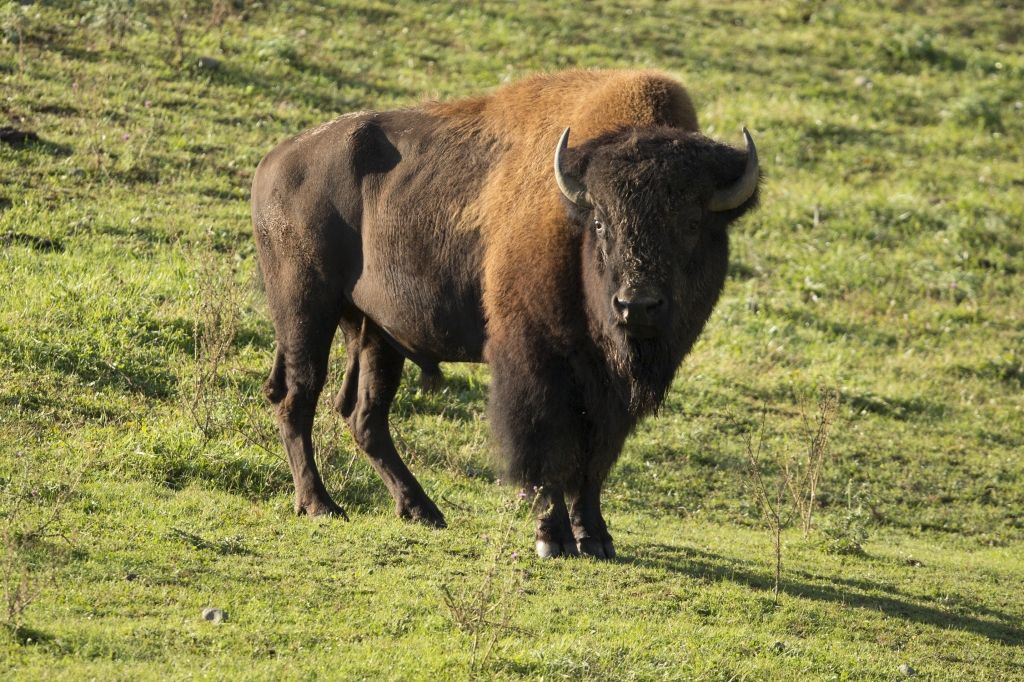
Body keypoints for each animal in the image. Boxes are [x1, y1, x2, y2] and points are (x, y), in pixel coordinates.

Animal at [249, 69, 761, 557]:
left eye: (692, 222)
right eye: (600, 223)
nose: (637, 306)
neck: (571, 218)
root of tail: (274, 162)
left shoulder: (606, 388)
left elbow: (594, 459)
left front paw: (597, 539)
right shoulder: (535, 365)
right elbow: (546, 449)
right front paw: (552, 539)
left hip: (374, 332)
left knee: (363, 414)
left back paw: (422, 510)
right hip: (304, 309)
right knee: (297, 397)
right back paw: (320, 505)